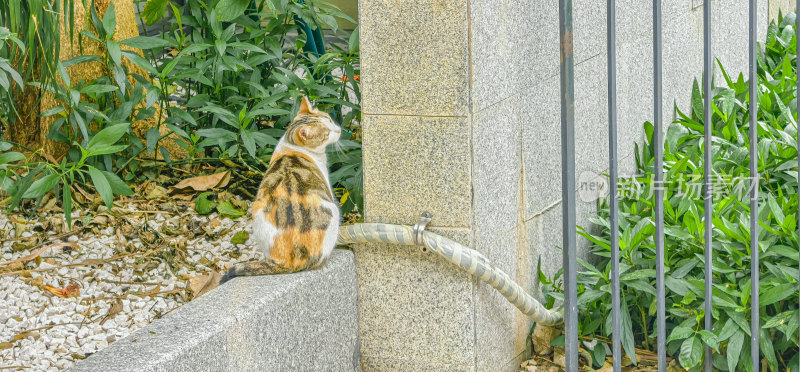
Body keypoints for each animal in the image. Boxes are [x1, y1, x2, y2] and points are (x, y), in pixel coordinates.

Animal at [220, 97, 342, 284]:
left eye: (329, 119)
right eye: (327, 133)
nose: (339, 129)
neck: (291, 145)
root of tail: (286, 260)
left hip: (257, 209)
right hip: (333, 211)